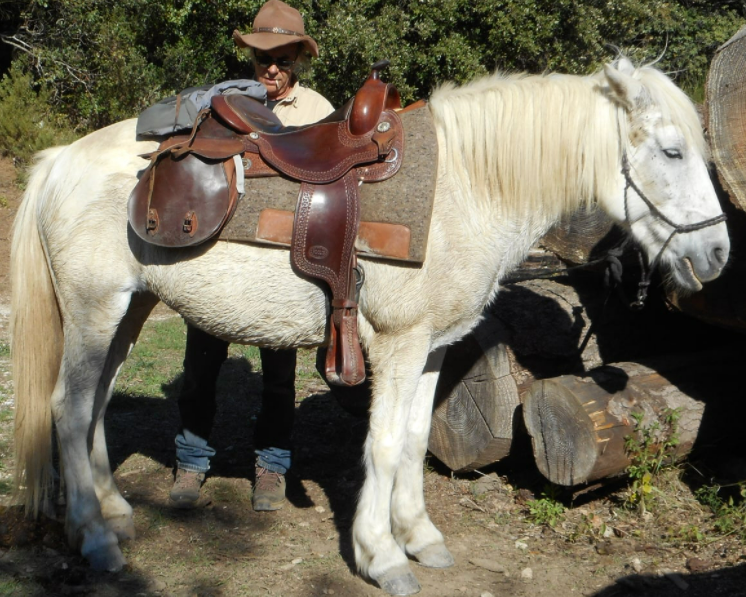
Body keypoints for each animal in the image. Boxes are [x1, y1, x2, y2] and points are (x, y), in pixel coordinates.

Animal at [10, 57, 728, 596]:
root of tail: (61, 160)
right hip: (96, 310)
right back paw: (96, 538)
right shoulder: (399, 346)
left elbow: (412, 441)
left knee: (95, 404)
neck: (465, 188)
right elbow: (382, 446)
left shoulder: (434, 349)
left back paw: (116, 512)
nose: (718, 254)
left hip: (128, 312)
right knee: (68, 409)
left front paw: (421, 537)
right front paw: (381, 555)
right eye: (672, 150)